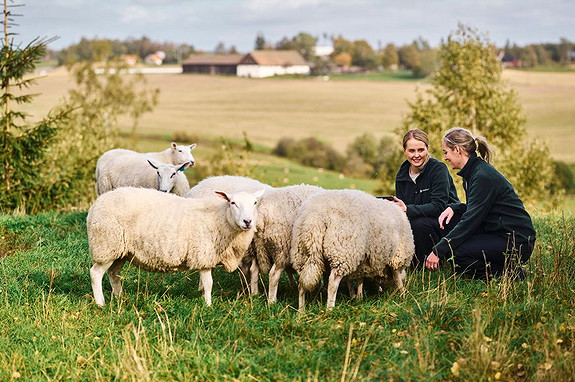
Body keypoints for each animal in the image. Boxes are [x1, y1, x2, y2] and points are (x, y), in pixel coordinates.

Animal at [86, 186, 266, 308]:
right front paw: (208, 305)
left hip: (120, 251)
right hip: (106, 244)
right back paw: (101, 303)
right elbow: (209, 283)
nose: (247, 222)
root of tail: (95, 205)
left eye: (255, 203)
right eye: (232, 203)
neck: (220, 219)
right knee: (96, 273)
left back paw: (120, 297)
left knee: (113, 274)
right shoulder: (203, 254)